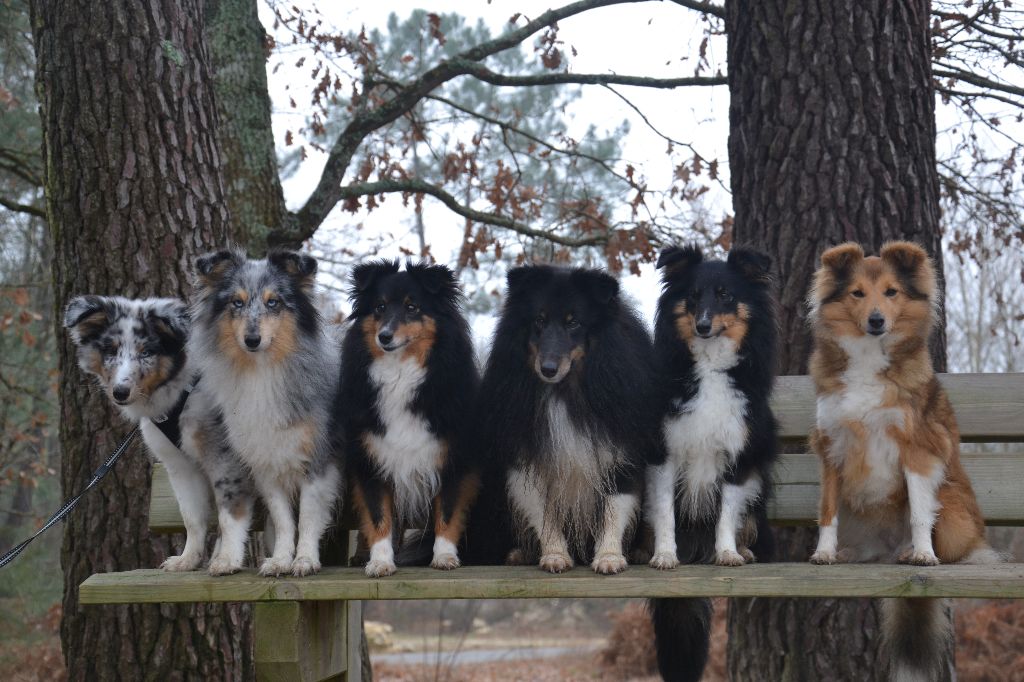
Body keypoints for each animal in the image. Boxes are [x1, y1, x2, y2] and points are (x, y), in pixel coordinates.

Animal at [64, 292, 253, 573]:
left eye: (147, 352)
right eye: (110, 350)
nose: (120, 392)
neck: (183, 389)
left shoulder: (224, 456)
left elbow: (229, 512)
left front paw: (228, 560)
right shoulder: (180, 466)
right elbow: (192, 516)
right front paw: (188, 560)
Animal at [335, 259, 479, 573]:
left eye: (412, 307)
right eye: (379, 307)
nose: (384, 336)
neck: (400, 373)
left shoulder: (453, 455)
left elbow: (447, 511)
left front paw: (444, 557)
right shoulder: (371, 458)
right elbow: (378, 516)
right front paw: (379, 562)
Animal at [475, 266, 659, 573]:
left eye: (573, 323)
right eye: (539, 320)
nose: (548, 369)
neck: (565, 390)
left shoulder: (622, 450)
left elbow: (614, 506)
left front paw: (609, 558)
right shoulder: (525, 455)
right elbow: (543, 510)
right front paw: (555, 556)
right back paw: (519, 554)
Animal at [647, 245, 774, 679]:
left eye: (725, 295)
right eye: (693, 296)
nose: (703, 326)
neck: (710, 365)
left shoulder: (739, 456)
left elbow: (726, 513)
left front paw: (728, 554)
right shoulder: (665, 453)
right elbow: (665, 512)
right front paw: (665, 556)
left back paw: (747, 552)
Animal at [806, 241, 999, 675]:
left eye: (891, 292)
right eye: (857, 293)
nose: (877, 320)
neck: (868, 358)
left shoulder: (917, 449)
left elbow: (918, 512)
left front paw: (924, 553)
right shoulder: (831, 448)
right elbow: (827, 512)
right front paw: (824, 552)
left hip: (953, 505)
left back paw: (913, 551)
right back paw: (852, 553)